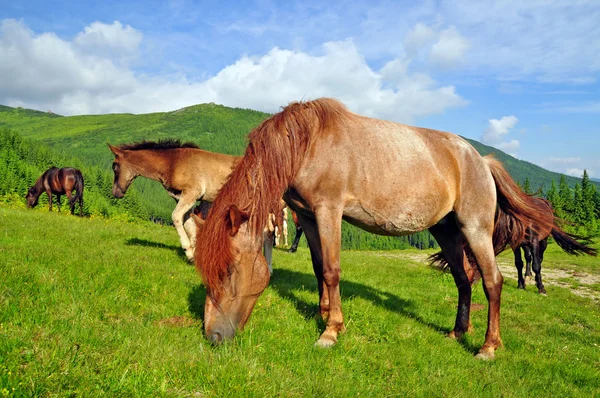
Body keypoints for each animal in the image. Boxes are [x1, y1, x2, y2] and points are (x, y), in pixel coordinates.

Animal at [109, 140, 240, 262]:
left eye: (114, 166)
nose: (115, 193)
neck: (173, 163)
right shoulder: (181, 198)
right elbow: (189, 223)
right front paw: (194, 255)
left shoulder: (191, 193)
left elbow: (176, 217)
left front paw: (189, 252)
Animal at [193, 97, 556, 360]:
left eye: (228, 270)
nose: (213, 335)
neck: (308, 143)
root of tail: (481, 160)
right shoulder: (307, 216)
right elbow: (318, 267)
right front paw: (323, 313)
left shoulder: (329, 211)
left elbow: (332, 270)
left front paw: (331, 331)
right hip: (447, 231)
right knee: (463, 278)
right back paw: (457, 332)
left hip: (475, 229)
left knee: (493, 282)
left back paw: (488, 347)